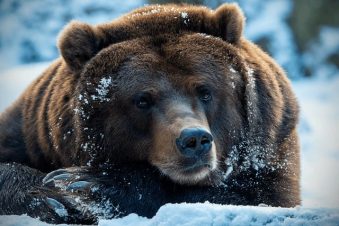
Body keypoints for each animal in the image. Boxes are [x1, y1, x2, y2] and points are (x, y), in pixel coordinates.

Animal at [0, 2, 300, 215]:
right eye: (142, 100)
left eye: (205, 92)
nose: (194, 139)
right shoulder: (32, 131)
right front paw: (53, 196)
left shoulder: (272, 145)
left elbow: (258, 197)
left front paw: (86, 183)